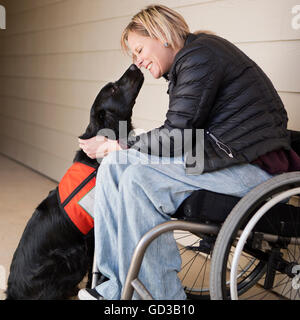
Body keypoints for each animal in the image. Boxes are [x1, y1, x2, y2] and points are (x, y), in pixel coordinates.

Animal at [5, 63, 144, 298]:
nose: (135, 64)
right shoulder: (96, 235)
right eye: (113, 89)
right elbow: (100, 271)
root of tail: (13, 292)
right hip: (71, 255)